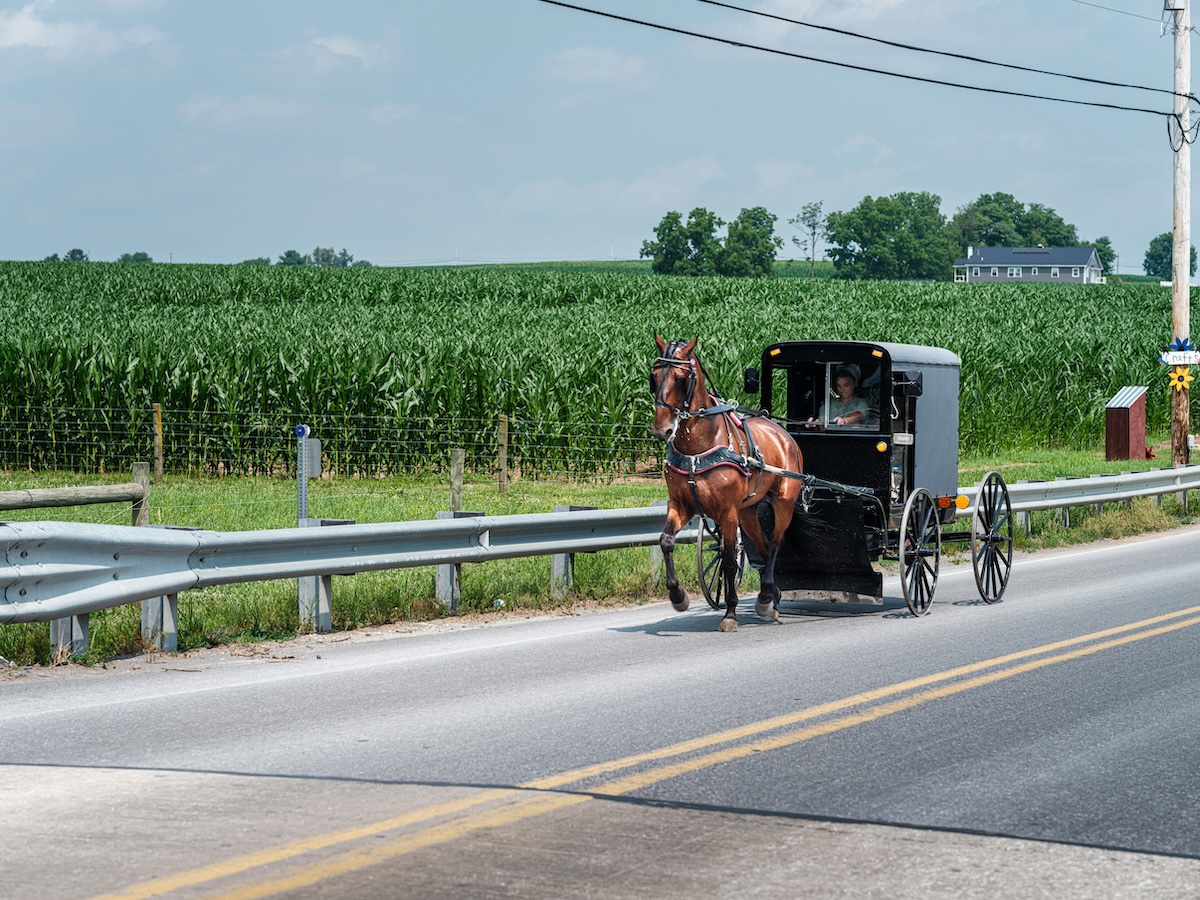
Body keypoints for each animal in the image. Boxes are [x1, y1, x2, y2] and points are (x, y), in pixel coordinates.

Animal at [648, 336, 806, 628]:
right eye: (653, 377)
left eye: (681, 378)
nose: (662, 429)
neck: (698, 449)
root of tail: (783, 434)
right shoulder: (679, 504)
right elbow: (666, 541)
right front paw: (678, 596)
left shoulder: (728, 512)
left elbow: (731, 561)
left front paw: (730, 613)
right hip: (748, 511)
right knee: (763, 546)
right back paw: (771, 596)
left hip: (783, 502)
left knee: (774, 544)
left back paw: (766, 597)